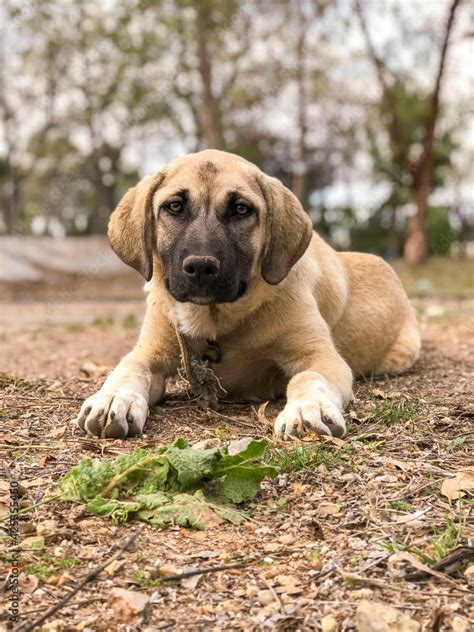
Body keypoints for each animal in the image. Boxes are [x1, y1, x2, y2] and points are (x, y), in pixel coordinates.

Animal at [76, 150, 420, 440]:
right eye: (174, 206)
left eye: (241, 209)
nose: (201, 266)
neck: (218, 322)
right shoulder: (151, 351)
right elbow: (128, 369)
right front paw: (113, 398)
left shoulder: (319, 355)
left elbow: (308, 378)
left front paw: (307, 409)